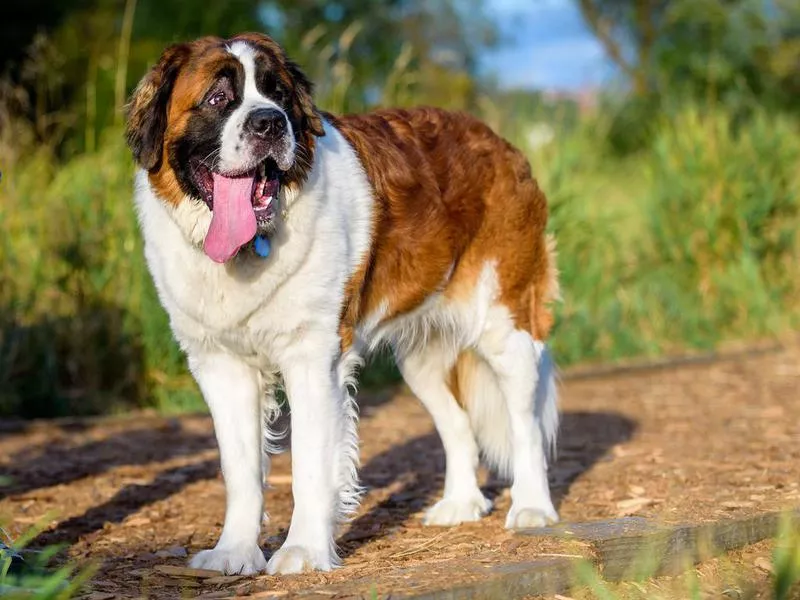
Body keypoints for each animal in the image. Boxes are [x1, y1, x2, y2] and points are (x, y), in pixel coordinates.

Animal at [126, 31, 564, 576]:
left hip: (506, 326)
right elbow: (240, 468)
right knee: (457, 422)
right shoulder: (220, 366)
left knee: (525, 422)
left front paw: (302, 551)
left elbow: (310, 463)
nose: (270, 122)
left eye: (278, 94)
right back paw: (460, 503)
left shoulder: (313, 360)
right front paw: (235, 551)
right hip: (421, 359)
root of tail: (501, 144)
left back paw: (532, 507)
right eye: (217, 98)